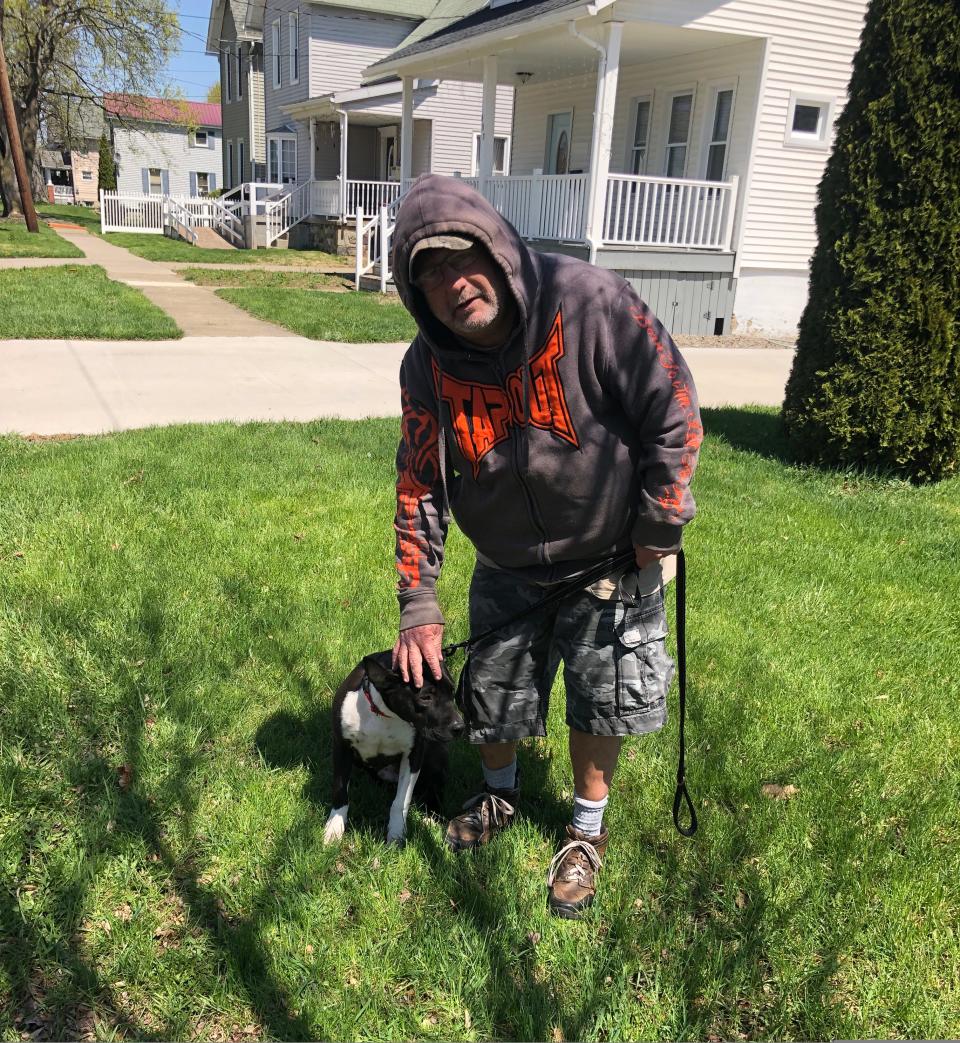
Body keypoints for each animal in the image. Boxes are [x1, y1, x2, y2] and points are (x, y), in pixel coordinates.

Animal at [323, 650, 465, 846]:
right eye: (425, 697)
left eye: (452, 691)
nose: (460, 726)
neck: (384, 714)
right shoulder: (341, 747)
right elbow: (339, 789)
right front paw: (335, 826)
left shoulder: (414, 755)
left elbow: (401, 801)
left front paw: (396, 833)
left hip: (435, 758)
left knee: (434, 791)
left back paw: (430, 818)